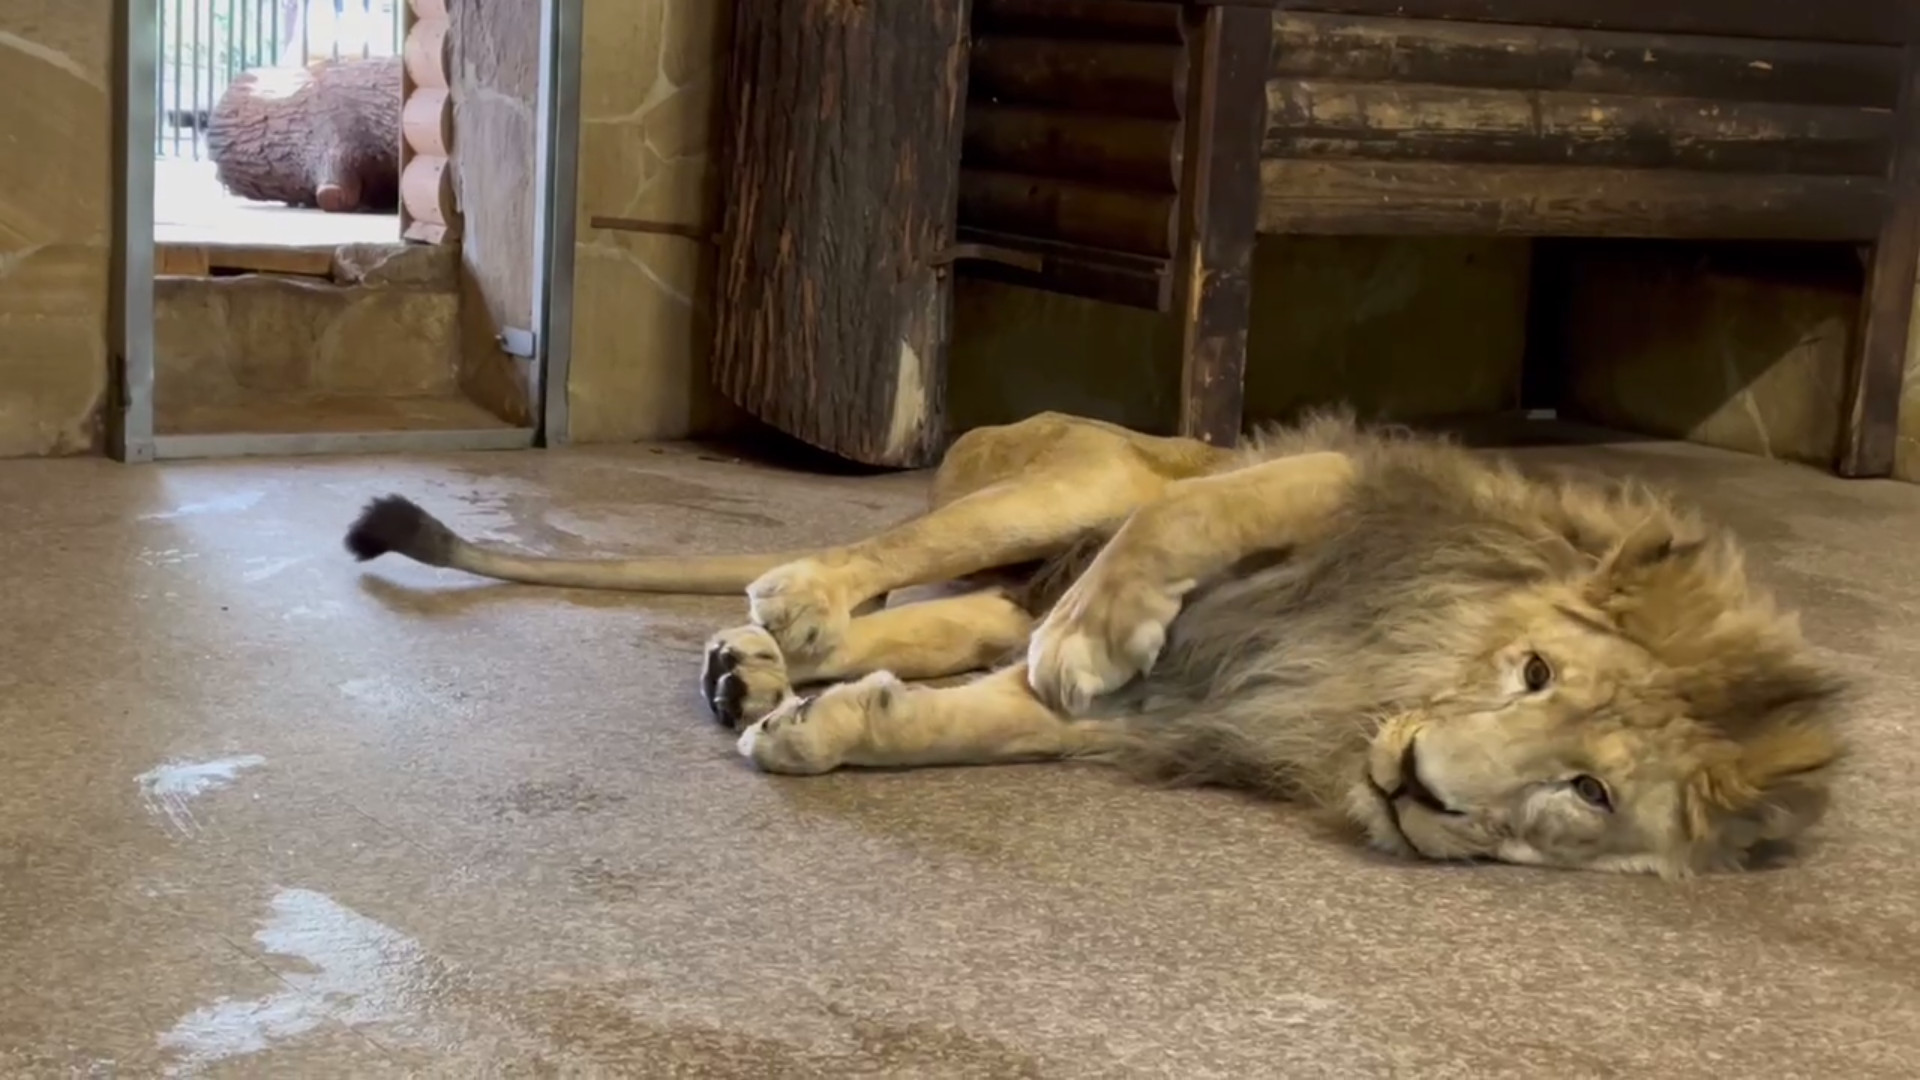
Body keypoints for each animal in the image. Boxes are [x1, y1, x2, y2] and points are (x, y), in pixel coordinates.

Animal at [341, 409, 1843, 876]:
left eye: (1588, 790)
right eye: (1532, 674)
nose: (1424, 785)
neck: (1370, 683)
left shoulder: (1181, 706)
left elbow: (966, 723)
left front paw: (826, 736)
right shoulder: (1331, 483)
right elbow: (1196, 522)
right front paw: (1103, 631)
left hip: (1005, 583)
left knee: (940, 621)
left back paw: (753, 669)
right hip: (1080, 474)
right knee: (901, 558)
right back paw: (795, 605)